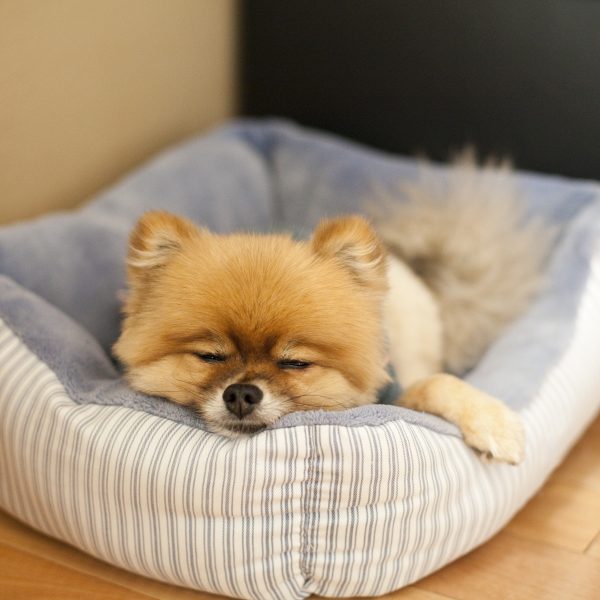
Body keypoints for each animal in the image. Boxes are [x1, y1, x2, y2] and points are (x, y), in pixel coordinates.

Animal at [113, 156, 552, 464]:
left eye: (295, 363)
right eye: (209, 356)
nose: (241, 393)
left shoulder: (398, 389)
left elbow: (436, 383)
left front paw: (494, 422)